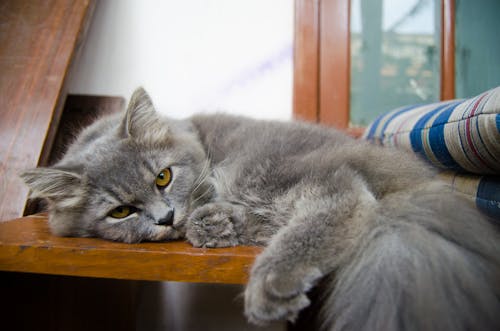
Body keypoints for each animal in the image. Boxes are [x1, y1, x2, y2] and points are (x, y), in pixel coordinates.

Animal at [22, 88, 500, 331]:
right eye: (121, 211)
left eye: (163, 177)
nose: (165, 218)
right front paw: (210, 223)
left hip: (269, 172)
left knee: (341, 202)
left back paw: (268, 282)